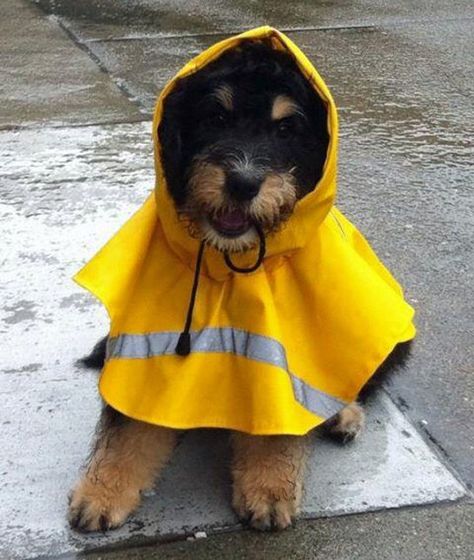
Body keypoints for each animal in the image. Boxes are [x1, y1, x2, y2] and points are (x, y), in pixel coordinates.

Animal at [67, 41, 412, 532]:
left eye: (287, 127)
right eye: (215, 116)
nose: (244, 183)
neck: (228, 267)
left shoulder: (283, 353)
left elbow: (280, 425)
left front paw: (269, 489)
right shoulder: (146, 337)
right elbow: (126, 425)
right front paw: (102, 492)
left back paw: (340, 414)